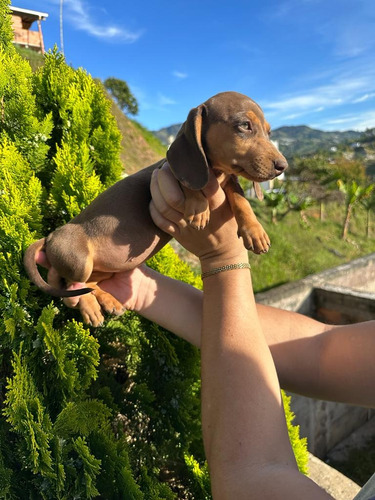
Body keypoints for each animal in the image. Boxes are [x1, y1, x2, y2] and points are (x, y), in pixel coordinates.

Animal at [24, 91, 288, 326]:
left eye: (269, 132)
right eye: (244, 125)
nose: (282, 166)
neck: (217, 173)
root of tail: (50, 236)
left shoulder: (229, 181)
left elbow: (241, 199)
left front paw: (255, 232)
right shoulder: (167, 170)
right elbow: (188, 182)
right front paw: (198, 207)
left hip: (102, 270)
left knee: (84, 285)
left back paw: (108, 301)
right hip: (79, 262)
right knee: (70, 288)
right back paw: (90, 308)